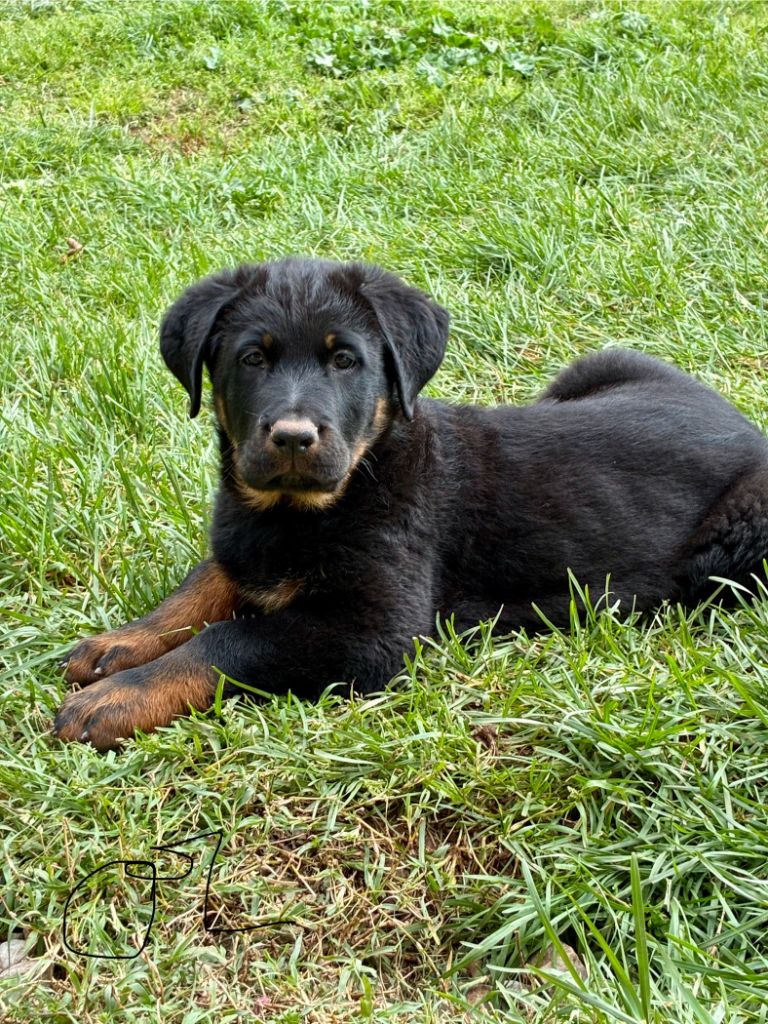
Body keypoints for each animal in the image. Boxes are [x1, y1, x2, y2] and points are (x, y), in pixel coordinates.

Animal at [54, 258, 768, 750]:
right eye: (252, 358)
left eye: (345, 361)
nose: (293, 437)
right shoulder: (245, 547)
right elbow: (201, 587)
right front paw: (120, 643)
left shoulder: (375, 633)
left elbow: (229, 637)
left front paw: (116, 699)